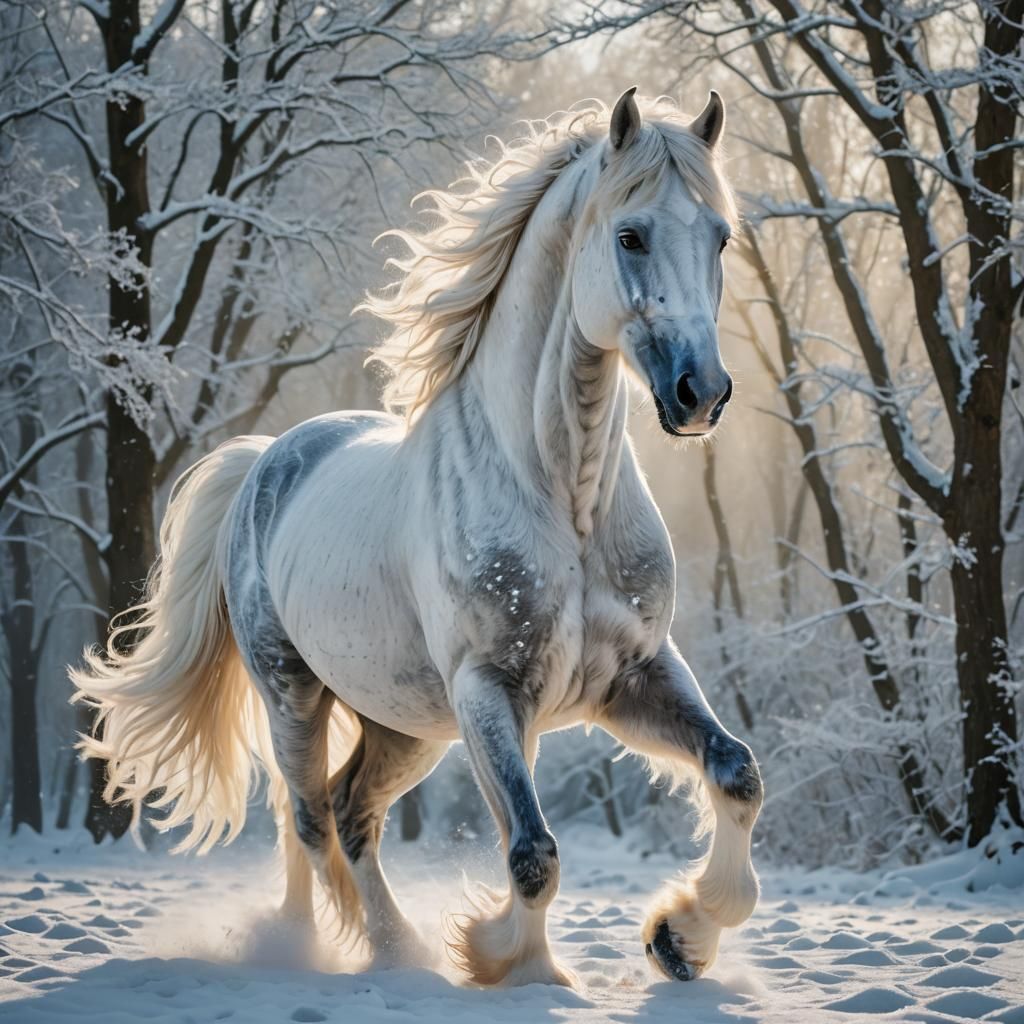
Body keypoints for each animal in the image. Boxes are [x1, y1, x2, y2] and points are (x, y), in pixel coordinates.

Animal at [72, 87, 763, 988]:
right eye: (631, 235)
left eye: (719, 236)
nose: (700, 393)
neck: (562, 501)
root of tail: (265, 460)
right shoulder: (488, 690)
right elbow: (533, 852)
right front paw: (515, 967)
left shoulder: (634, 676)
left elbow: (736, 773)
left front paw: (680, 938)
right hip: (295, 694)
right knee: (307, 818)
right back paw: (335, 950)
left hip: (403, 725)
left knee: (347, 812)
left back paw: (385, 949)